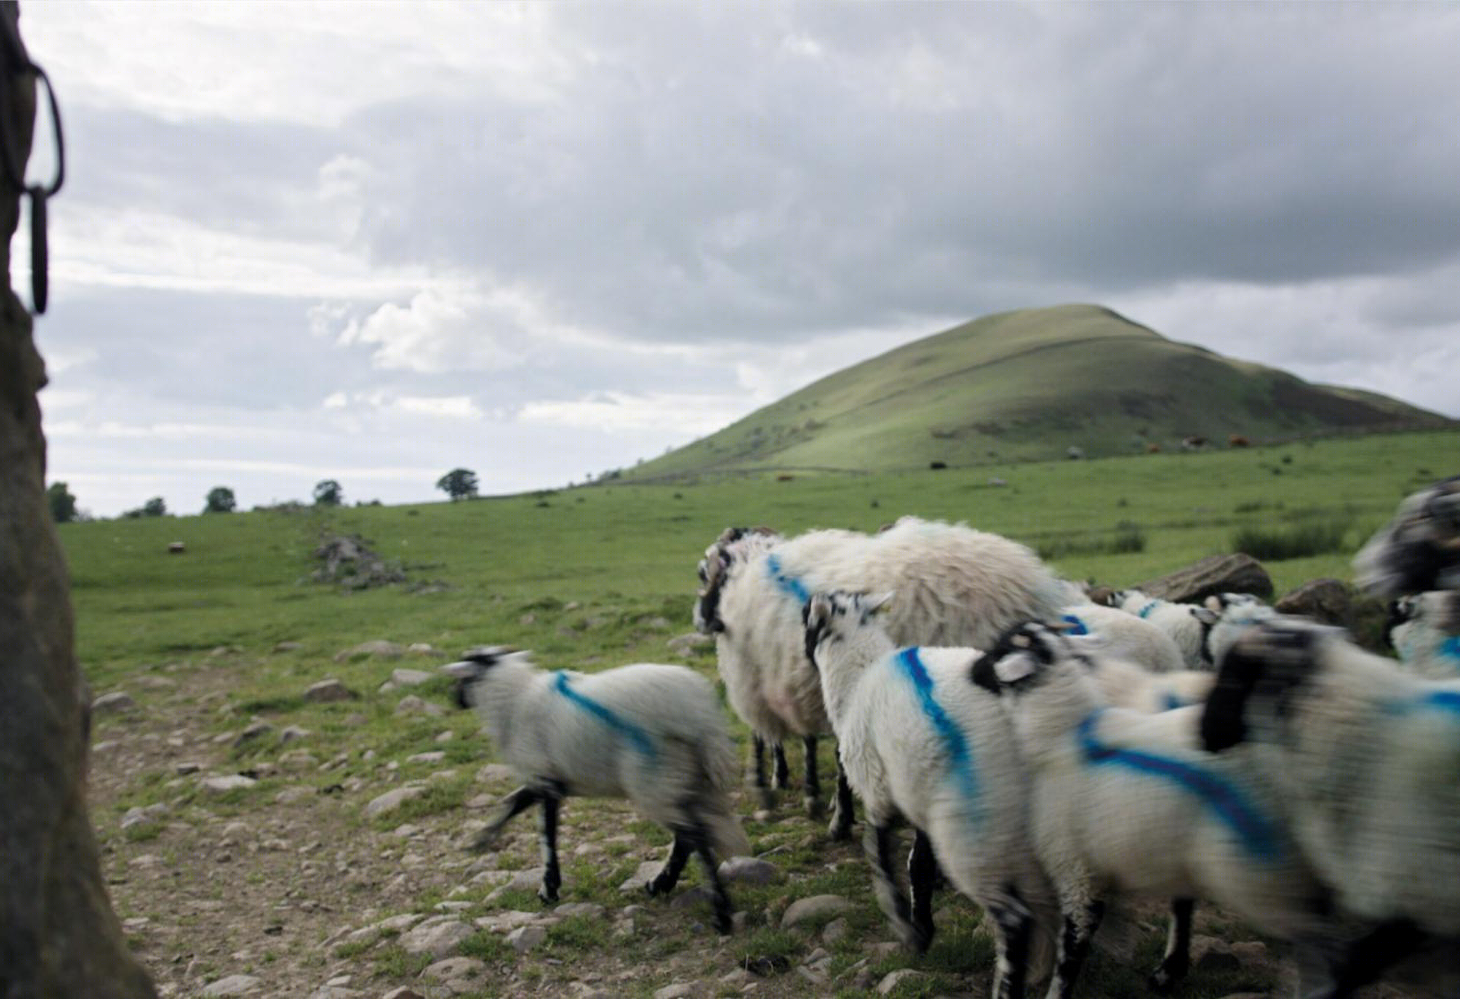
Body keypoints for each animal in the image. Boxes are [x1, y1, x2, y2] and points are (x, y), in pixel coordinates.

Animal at [438, 642, 747, 934]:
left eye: (461, 679)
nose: (455, 700)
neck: (515, 700)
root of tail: (699, 717)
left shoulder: (544, 778)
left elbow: (545, 834)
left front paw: (548, 890)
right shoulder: (548, 779)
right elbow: (512, 803)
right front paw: (480, 839)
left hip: (654, 779)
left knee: (696, 838)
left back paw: (720, 914)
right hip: (686, 779)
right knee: (688, 838)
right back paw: (661, 886)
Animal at [800, 592, 1062, 999]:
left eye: (806, 621)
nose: (803, 655)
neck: (858, 676)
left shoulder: (878, 790)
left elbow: (879, 853)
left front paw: (909, 929)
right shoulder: (918, 796)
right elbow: (919, 864)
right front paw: (923, 925)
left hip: (973, 826)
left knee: (1016, 919)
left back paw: (1007, 985)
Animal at [969, 619, 1337, 993]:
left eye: (997, 650)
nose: (971, 668)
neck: (1062, 735)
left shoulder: (1079, 873)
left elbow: (1072, 950)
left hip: (1253, 865)